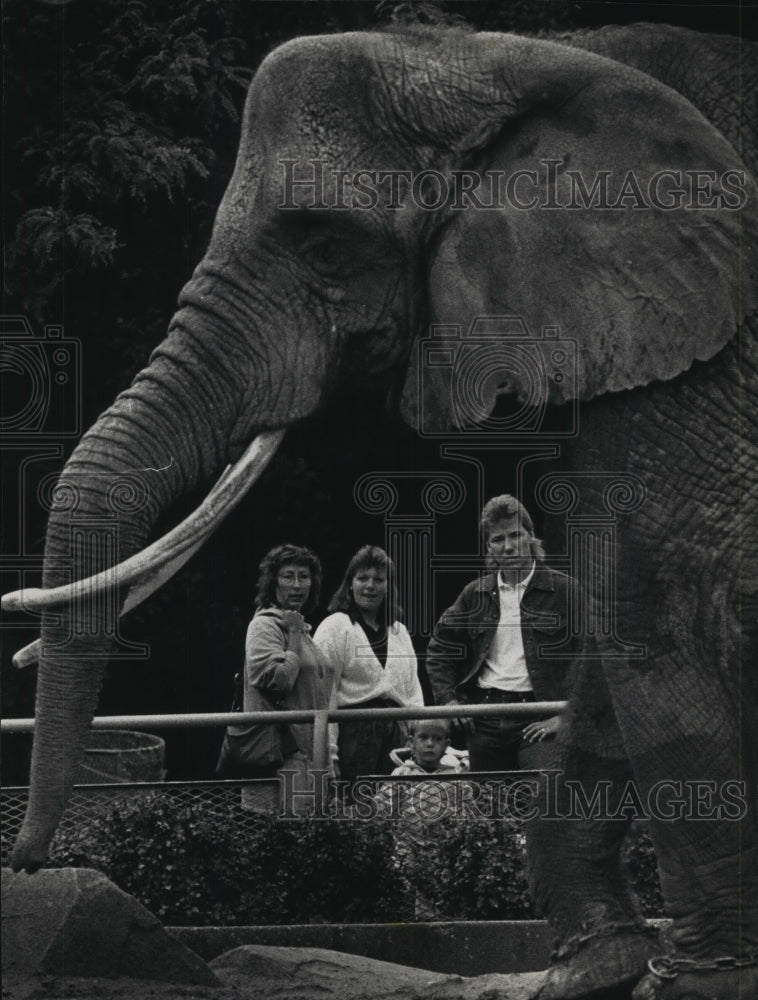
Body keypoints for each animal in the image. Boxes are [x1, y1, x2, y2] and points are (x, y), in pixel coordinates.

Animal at [5, 19, 758, 1000]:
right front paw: (594, 971)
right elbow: (613, 641)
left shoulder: (695, 350)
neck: (518, 55)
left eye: (326, 247)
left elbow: (658, 608)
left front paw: (696, 986)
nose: (28, 862)